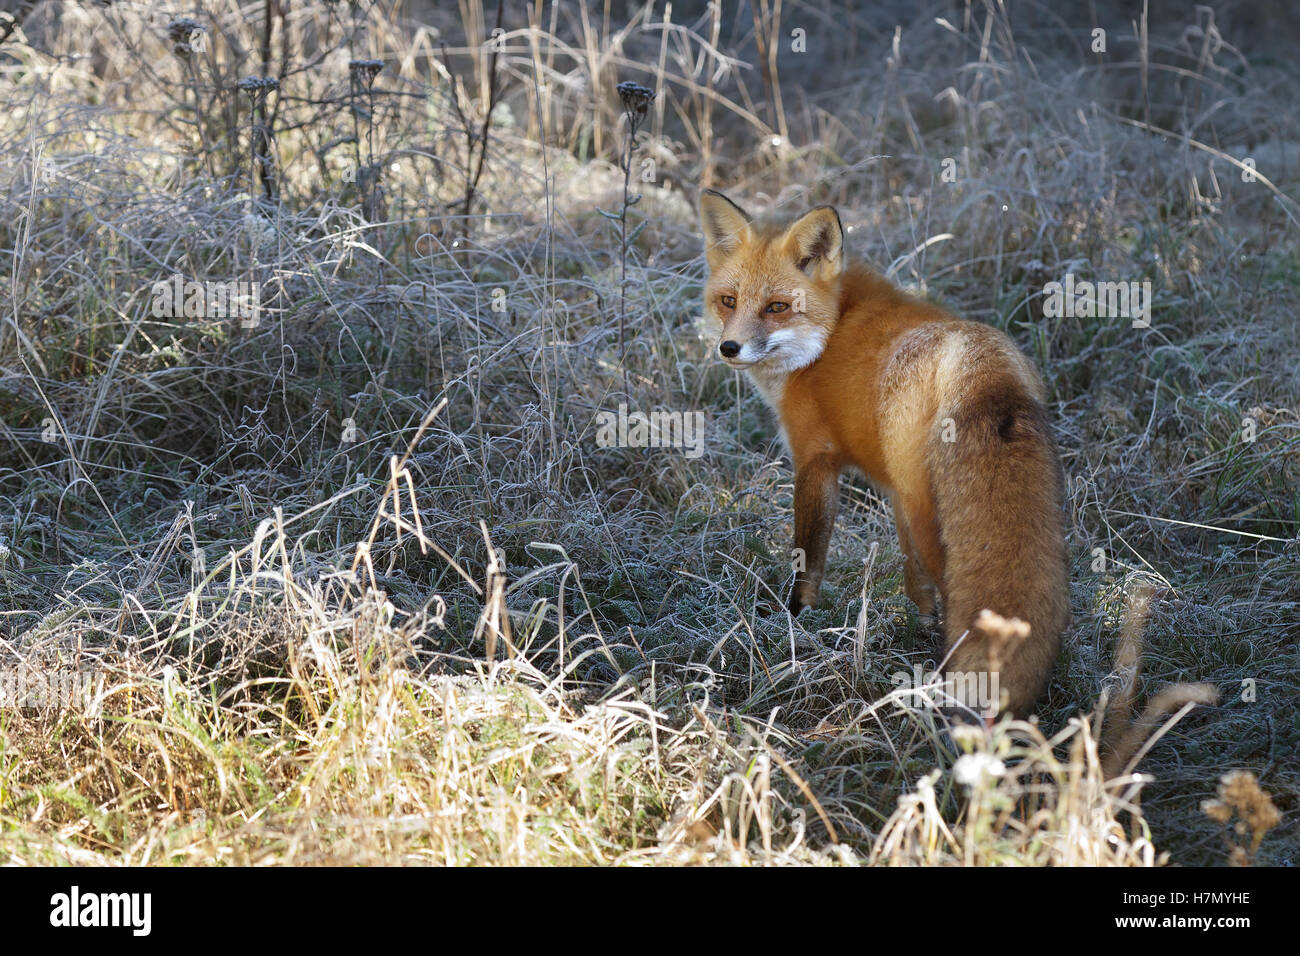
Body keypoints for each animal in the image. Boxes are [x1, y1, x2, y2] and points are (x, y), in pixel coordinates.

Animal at [698, 189, 1070, 716]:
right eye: (728, 300)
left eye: (776, 307)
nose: (729, 348)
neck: (829, 332)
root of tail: (977, 355)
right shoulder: (893, 486)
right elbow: (915, 581)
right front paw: (918, 626)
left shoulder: (814, 460)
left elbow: (807, 559)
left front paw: (792, 624)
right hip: (920, 495)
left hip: (929, 514)